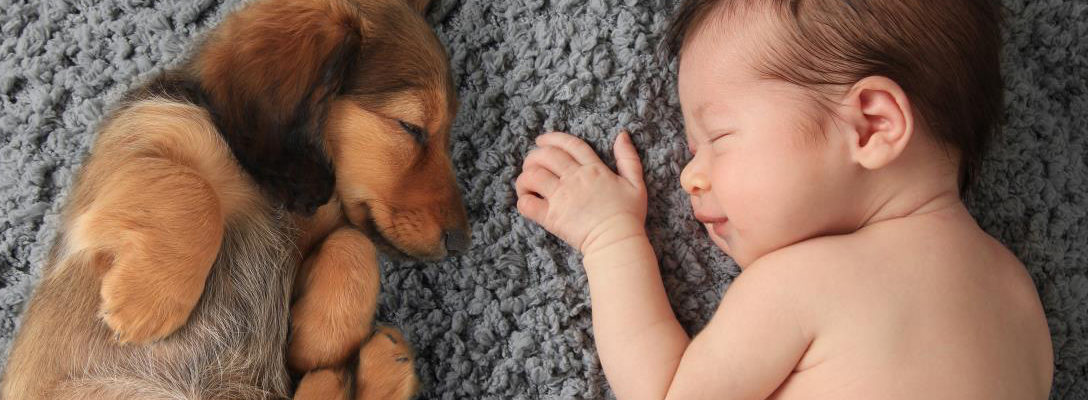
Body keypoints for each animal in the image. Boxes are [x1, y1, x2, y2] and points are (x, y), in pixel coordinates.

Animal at [0, 0, 468, 398]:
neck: (264, 186)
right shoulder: (138, 141)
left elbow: (354, 242)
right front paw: (145, 301)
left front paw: (317, 341)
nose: (461, 242)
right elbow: (193, 188)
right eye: (410, 127)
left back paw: (375, 366)